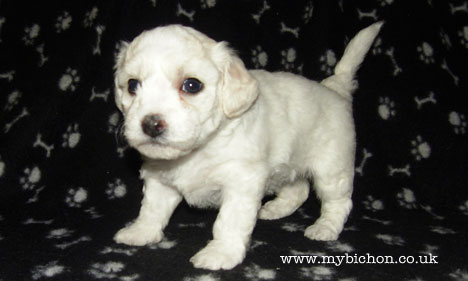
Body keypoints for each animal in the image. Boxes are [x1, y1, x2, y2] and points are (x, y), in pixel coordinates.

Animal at [114, 22, 384, 270]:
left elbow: (229, 221)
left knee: (338, 200)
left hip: (332, 166)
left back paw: (325, 228)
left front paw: (220, 254)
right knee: (298, 189)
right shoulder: (160, 178)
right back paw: (276, 209)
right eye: (132, 85)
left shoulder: (241, 182)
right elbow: (152, 209)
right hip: (290, 163)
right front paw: (140, 232)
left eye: (192, 85)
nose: (151, 124)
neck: (199, 149)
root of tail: (334, 88)